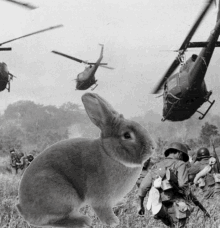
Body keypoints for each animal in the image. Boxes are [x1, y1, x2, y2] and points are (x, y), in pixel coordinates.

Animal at [16, 92, 155, 228]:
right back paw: (82, 221)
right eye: (127, 135)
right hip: (62, 195)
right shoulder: (100, 199)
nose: (152, 148)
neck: (109, 154)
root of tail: (24, 209)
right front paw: (113, 222)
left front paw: (121, 203)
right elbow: (102, 210)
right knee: (49, 221)